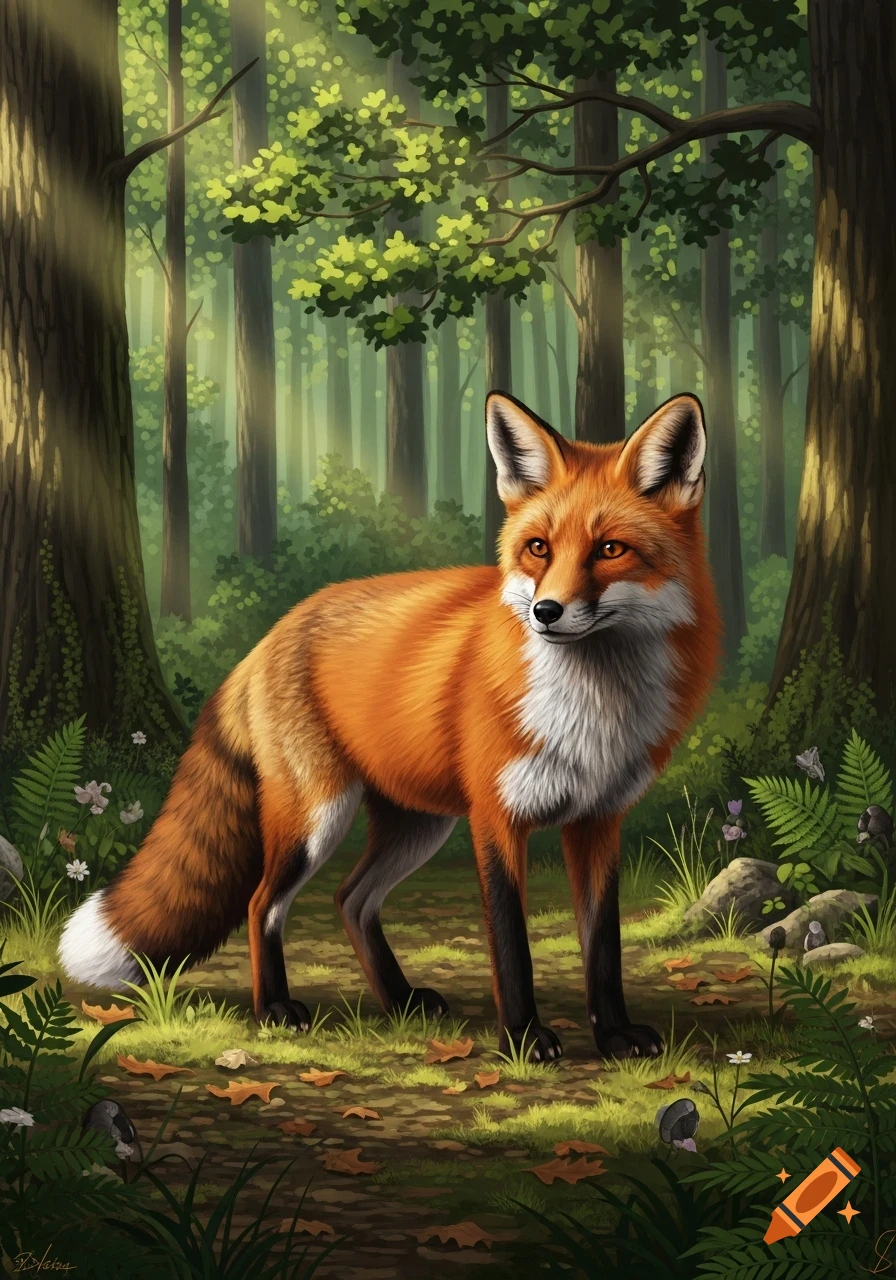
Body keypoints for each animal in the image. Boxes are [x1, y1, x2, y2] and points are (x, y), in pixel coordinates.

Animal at [60, 391, 721, 1061]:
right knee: (261, 903)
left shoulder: (598, 822)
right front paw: (523, 1039)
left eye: (610, 550)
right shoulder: (496, 819)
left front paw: (613, 1034)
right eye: (539, 548)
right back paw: (274, 1008)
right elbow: (512, 945)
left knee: (350, 899)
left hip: (417, 826)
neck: (592, 711)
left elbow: (603, 945)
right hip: (316, 818)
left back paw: (398, 1000)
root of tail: (274, 632)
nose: (545, 611)